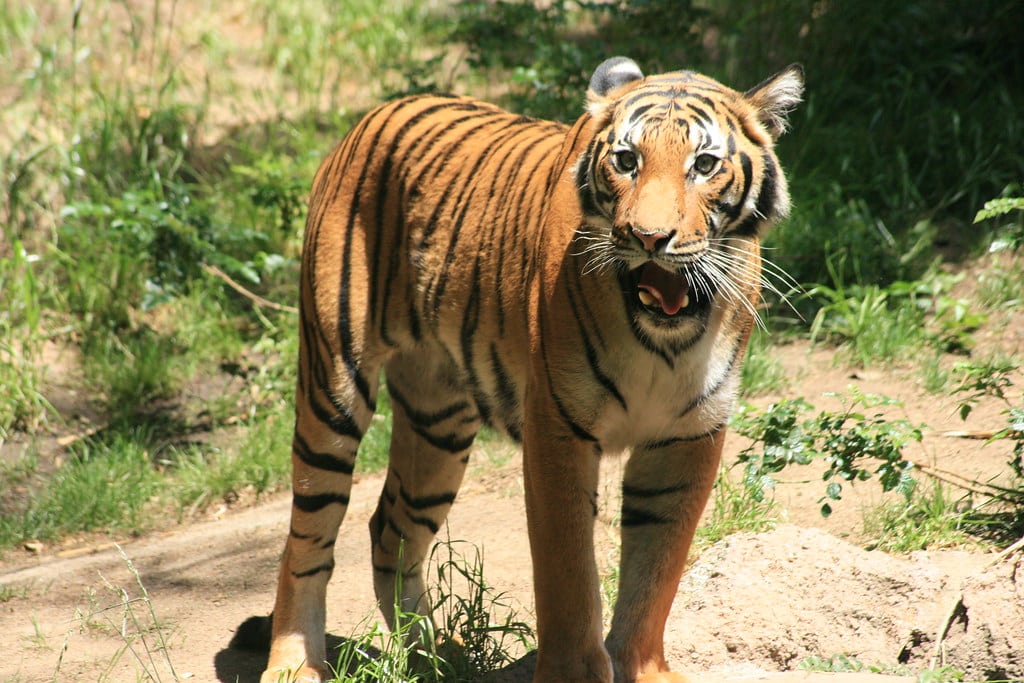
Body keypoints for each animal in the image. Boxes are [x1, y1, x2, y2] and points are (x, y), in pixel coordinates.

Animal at [258, 56, 803, 683]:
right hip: (333, 387)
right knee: (307, 536)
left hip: (438, 424)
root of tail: (373, 113)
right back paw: (293, 663)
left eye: (704, 166)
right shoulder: (558, 427)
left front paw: (643, 669)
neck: (663, 344)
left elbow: (657, 570)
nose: (648, 238)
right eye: (626, 161)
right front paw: (577, 673)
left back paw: (434, 659)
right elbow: (568, 573)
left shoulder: (688, 436)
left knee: (390, 527)